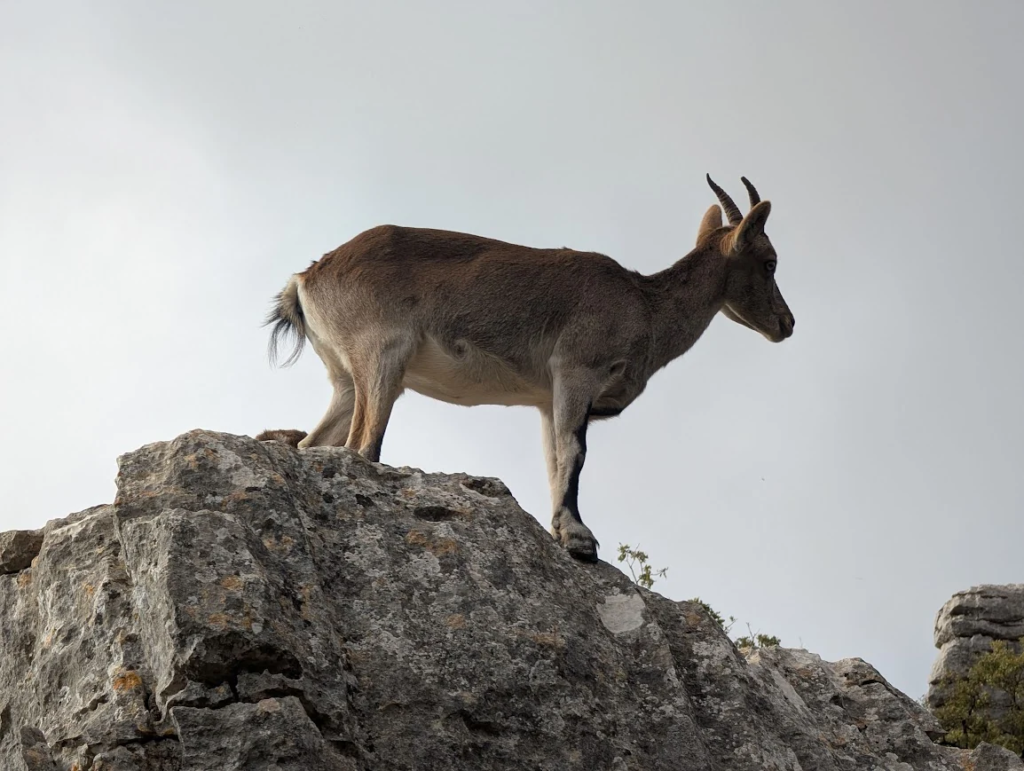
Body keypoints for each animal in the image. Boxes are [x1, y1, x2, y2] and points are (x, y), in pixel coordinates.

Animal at [263, 176, 794, 562]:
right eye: (769, 261)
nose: (786, 323)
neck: (643, 305)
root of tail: (306, 278)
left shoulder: (547, 399)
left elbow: (554, 458)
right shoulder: (577, 370)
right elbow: (575, 453)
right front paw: (580, 539)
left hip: (346, 380)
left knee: (316, 442)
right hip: (382, 358)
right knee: (362, 446)